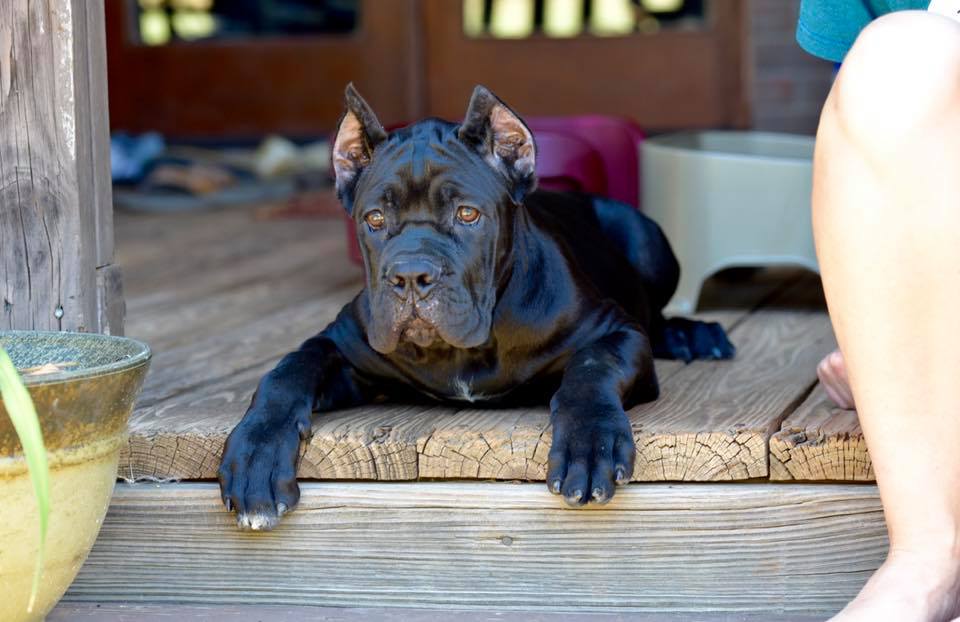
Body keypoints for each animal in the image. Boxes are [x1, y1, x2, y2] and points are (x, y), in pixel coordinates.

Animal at [219, 84, 736, 532]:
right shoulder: (342, 348)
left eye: (468, 214)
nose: (411, 276)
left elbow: (592, 368)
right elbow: (286, 371)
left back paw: (693, 334)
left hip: (647, 239)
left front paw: (592, 443)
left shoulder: (616, 331)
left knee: (658, 314)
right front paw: (255, 454)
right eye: (375, 219)